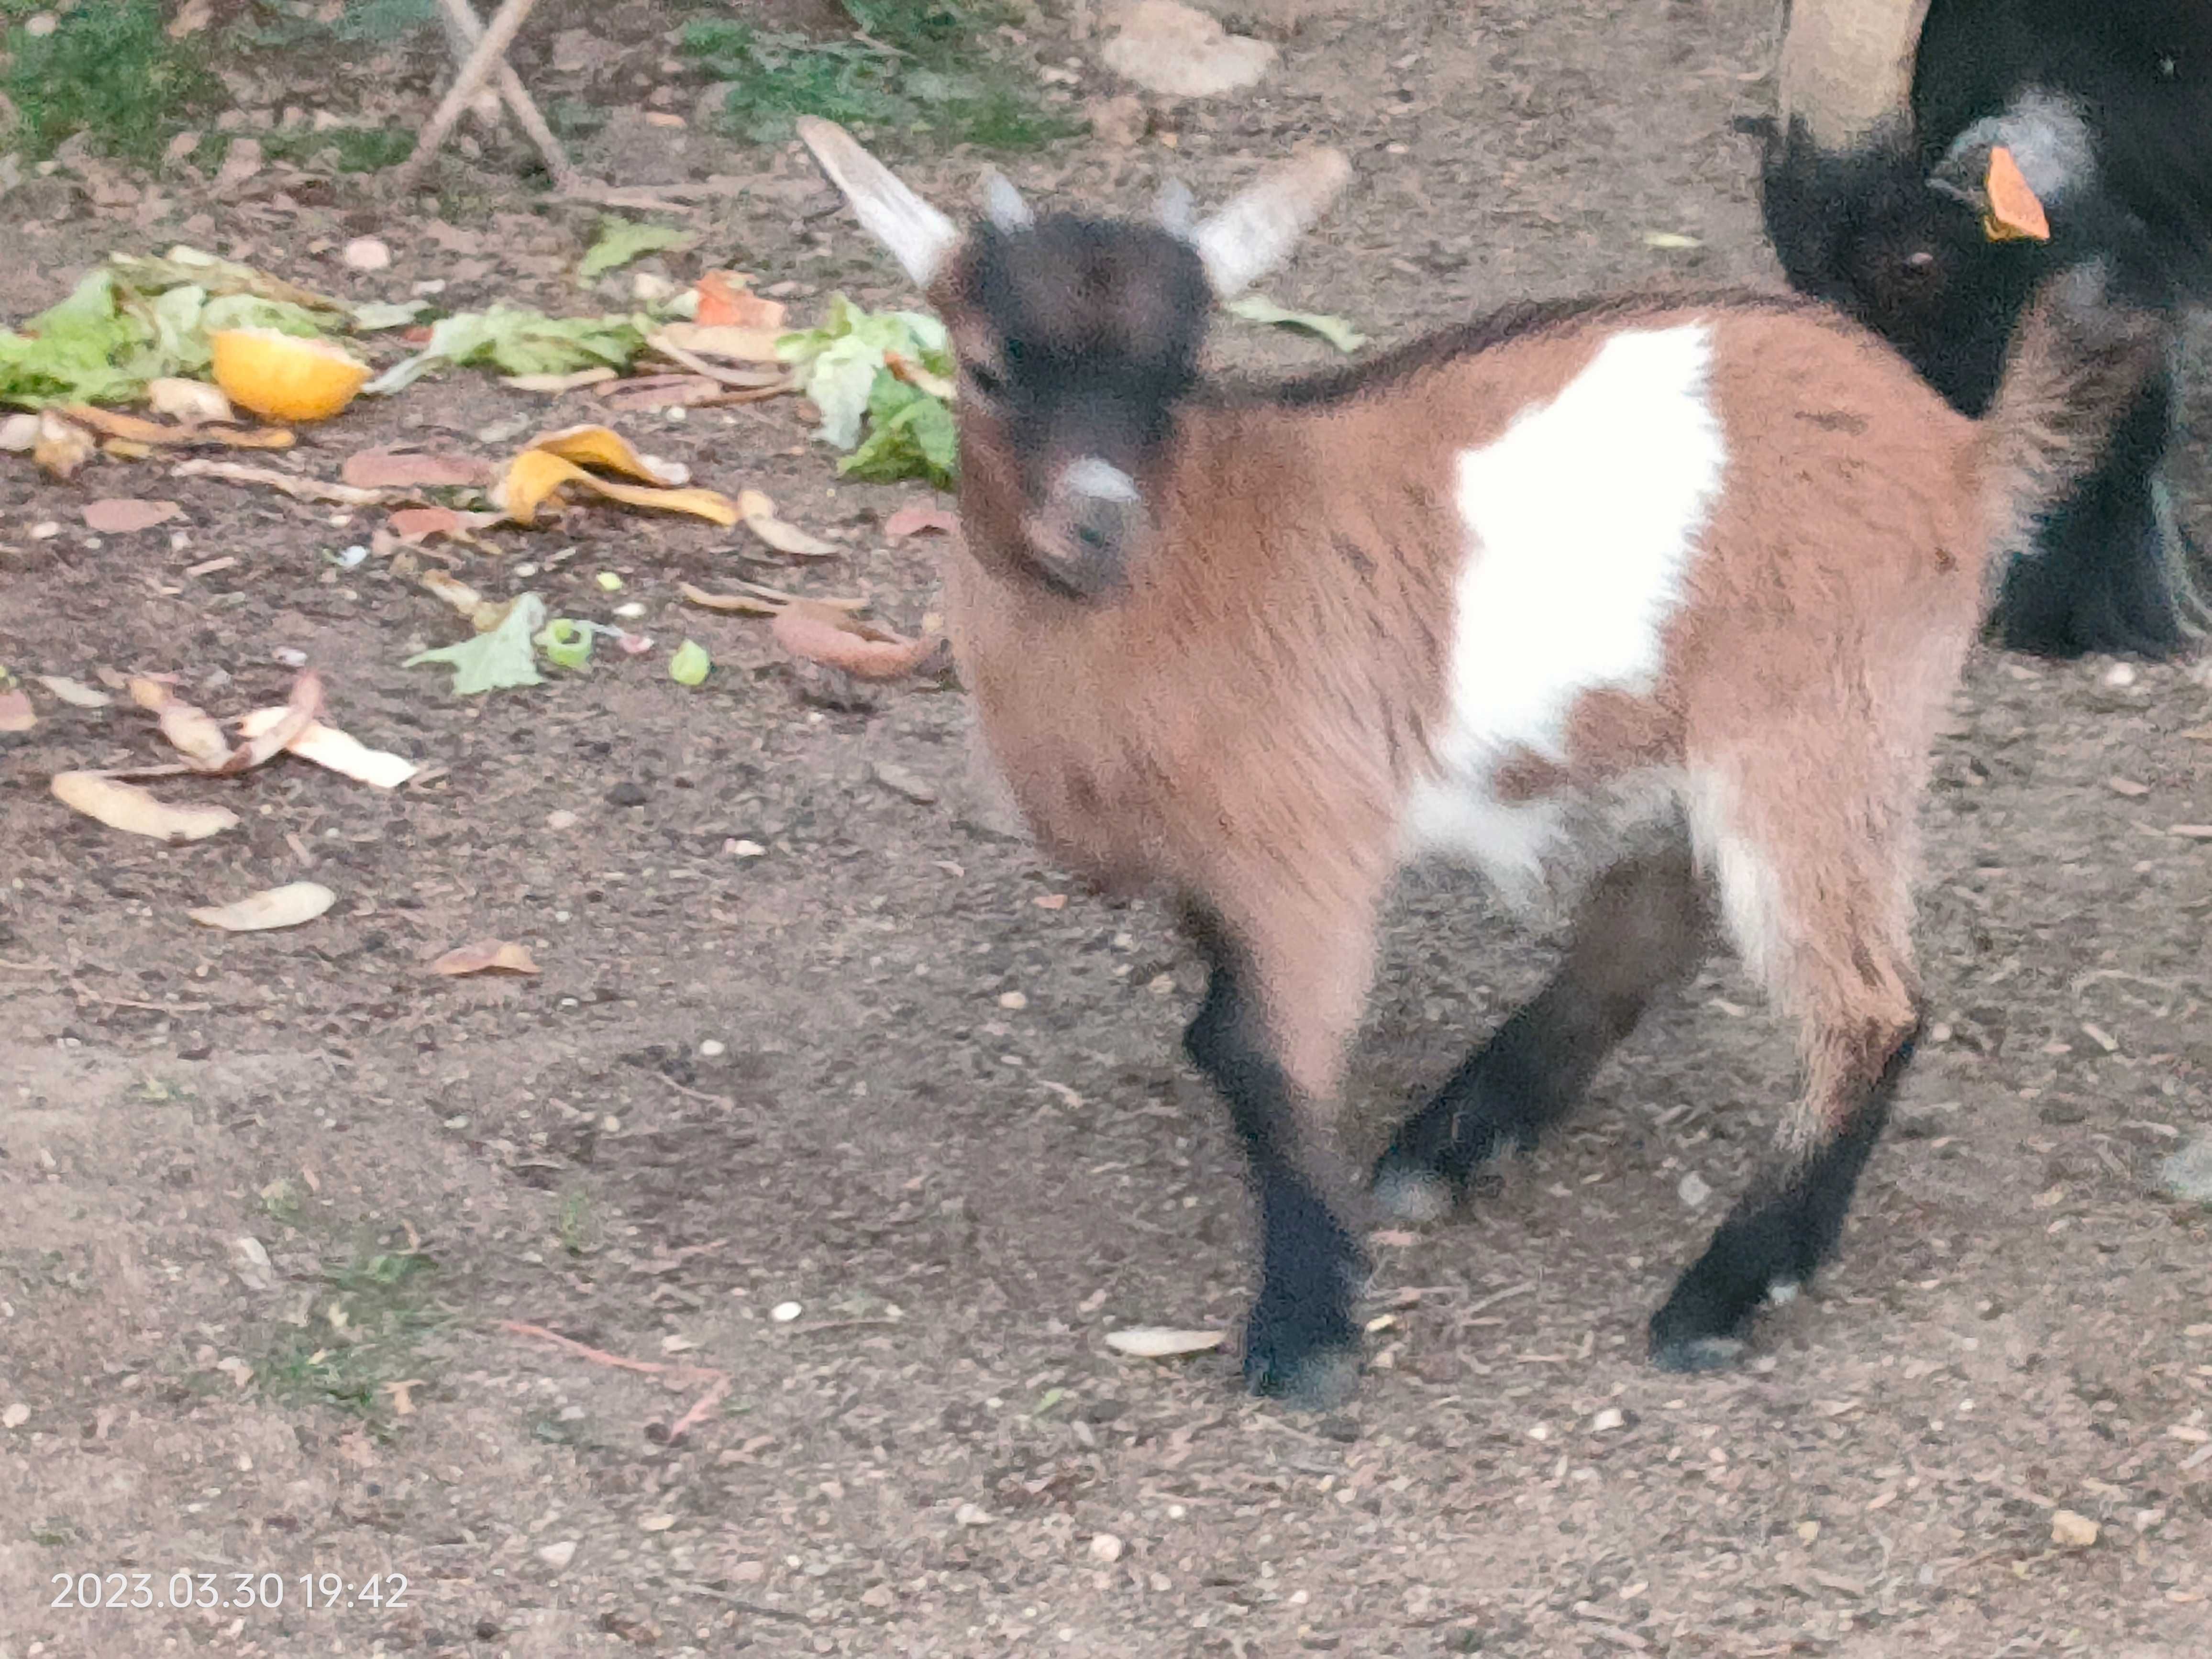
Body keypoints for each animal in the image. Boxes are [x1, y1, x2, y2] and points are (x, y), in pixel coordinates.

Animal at [796, 120, 2159, 1406]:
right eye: (986, 366)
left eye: (1180, 373)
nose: (1098, 520)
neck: (1188, 564)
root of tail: (1963, 453)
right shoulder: (1212, 867)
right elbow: (1226, 1027)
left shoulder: (1311, 840)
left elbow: (1273, 1057)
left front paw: (1306, 1332)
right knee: (1646, 928)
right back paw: (1457, 1140)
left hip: (1818, 733)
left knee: (1866, 1008)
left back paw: (1720, 1290)